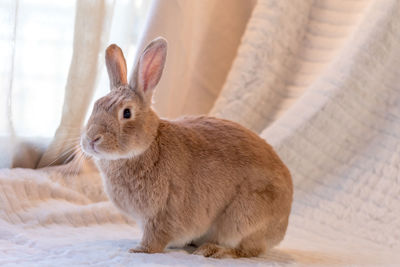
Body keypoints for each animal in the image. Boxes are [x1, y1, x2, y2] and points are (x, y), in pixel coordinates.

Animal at [82, 37, 294, 260]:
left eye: (127, 113)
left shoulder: (162, 213)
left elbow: (155, 237)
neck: (149, 144)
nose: (91, 139)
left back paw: (212, 250)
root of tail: (283, 224)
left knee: (246, 249)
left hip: (243, 218)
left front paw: (139, 249)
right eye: (96, 105)